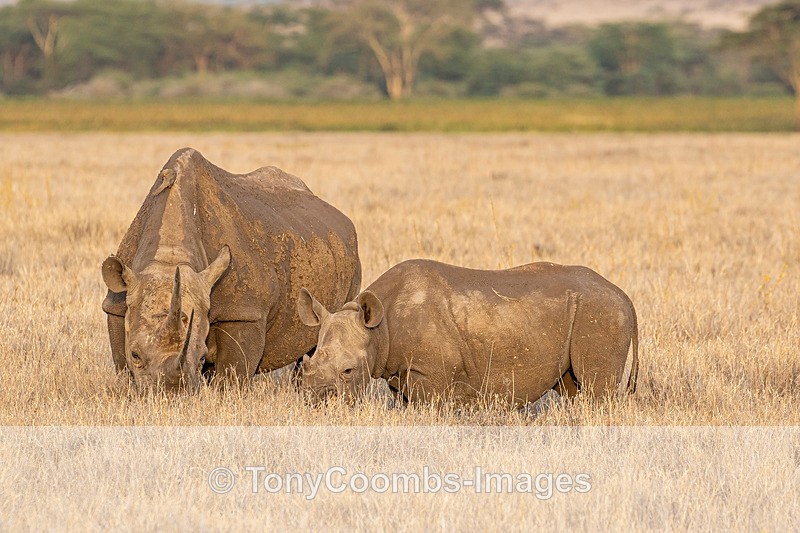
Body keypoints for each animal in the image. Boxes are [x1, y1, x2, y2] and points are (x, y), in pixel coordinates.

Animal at [101, 148, 361, 391]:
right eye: (136, 355)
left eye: (202, 357)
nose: (171, 395)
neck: (169, 257)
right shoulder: (117, 303)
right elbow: (122, 363)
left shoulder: (243, 312)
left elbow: (232, 375)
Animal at [296, 259, 638, 406]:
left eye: (349, 371)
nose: (314, 401)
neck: (381, 328)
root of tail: (624, 296)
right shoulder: (400, 371)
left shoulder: (431, 373)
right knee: (572, 386)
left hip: (600, 312)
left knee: (595, 389)